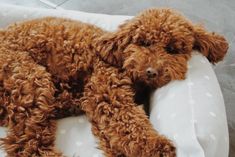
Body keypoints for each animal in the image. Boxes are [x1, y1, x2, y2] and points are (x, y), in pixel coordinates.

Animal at [0, 8, 228, 157]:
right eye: (143, 43)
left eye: (172, 49)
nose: (151, 72)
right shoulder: (106, 93)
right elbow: (128, 122)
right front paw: (155, 146)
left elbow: (115, 135)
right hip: (30, 79)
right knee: (24, 144)